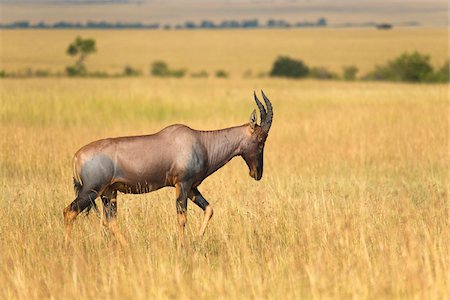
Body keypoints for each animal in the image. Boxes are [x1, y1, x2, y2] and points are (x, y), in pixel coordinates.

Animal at [63, 90, 274, 247]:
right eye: (261, 139)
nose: (257, 174)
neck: (200, 141)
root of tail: (76, 156)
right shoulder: (183, 184)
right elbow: (182, 218)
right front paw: (181, 246)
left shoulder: (192, 188)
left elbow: (209, 209)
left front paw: (196, 241)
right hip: (91, 190)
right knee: (69, 211)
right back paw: (67, 247)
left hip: (109, 193)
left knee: (111, 221)